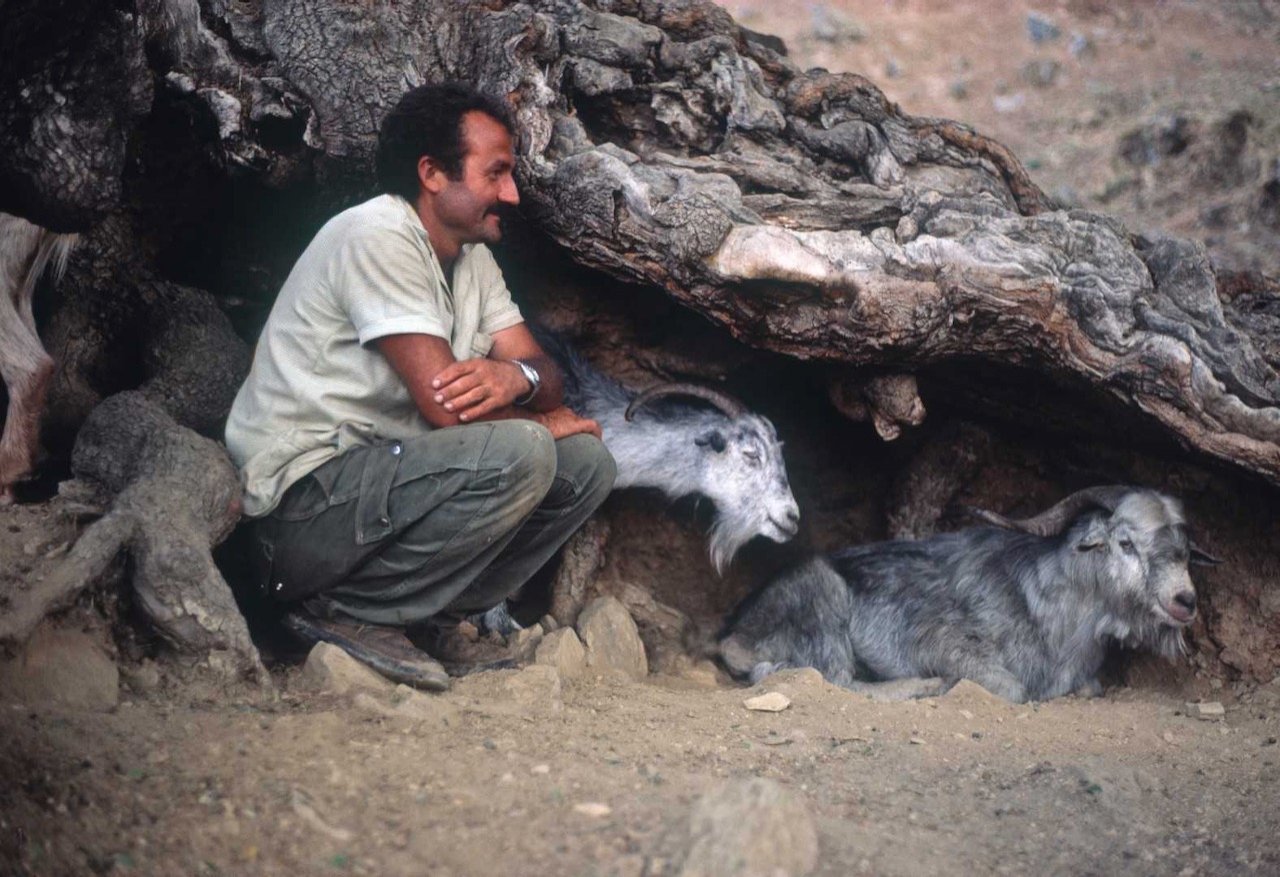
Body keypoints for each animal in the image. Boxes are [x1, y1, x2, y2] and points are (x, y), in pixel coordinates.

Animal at [716, 486, 1213, 706]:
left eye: (1186, 550)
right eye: (1126, 542)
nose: (1185, 601)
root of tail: (733, 633)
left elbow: (1088, 687)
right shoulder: (950, 645)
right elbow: (1013, 689)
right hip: (823, 598)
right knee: (830, 677)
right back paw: (926, 686)